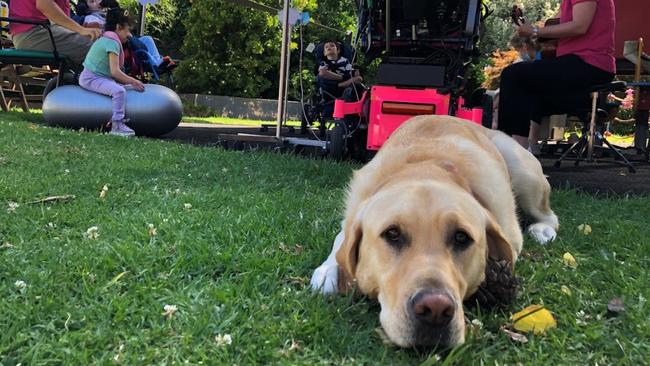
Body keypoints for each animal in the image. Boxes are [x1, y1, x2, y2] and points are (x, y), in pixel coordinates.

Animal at [308, 116, 556, 348]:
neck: (427, 164)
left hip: (524, 173)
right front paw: (328, 272)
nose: (436, 309)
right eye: (392, 234)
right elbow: (340, 239)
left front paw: (496, 278)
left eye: (461, 237)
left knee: (550, 215)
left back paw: (543, 231)